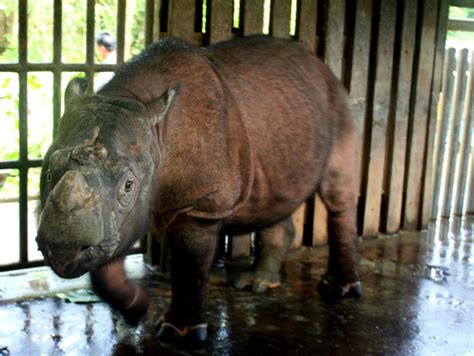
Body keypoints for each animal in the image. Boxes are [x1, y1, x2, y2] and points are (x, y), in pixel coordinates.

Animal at [37, 35, 362, 342]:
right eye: (48, 170)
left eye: (129, 185)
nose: (62, 248)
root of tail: (319, 64)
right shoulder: (116, 219)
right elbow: (106, 263)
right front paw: (137, 310)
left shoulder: (200, 204)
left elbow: (189, 266)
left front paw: (179, 334)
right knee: (276, 197)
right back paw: (259, 284)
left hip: (337, 102)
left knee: (337, 192)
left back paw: (336, 289)